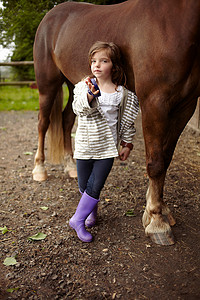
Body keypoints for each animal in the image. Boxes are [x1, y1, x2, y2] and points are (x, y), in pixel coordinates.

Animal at [33, 0, 200, 246]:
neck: (173, 20)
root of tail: (50, 15)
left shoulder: (185, 106)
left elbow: (166, 158)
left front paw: (160, 211)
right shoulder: (154, 102)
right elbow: (156, 162)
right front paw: (156, 221)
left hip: (73, 83)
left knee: (65, 120)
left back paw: (70, 166)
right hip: (48, 83)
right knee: (43, 123)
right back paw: (39, 169)